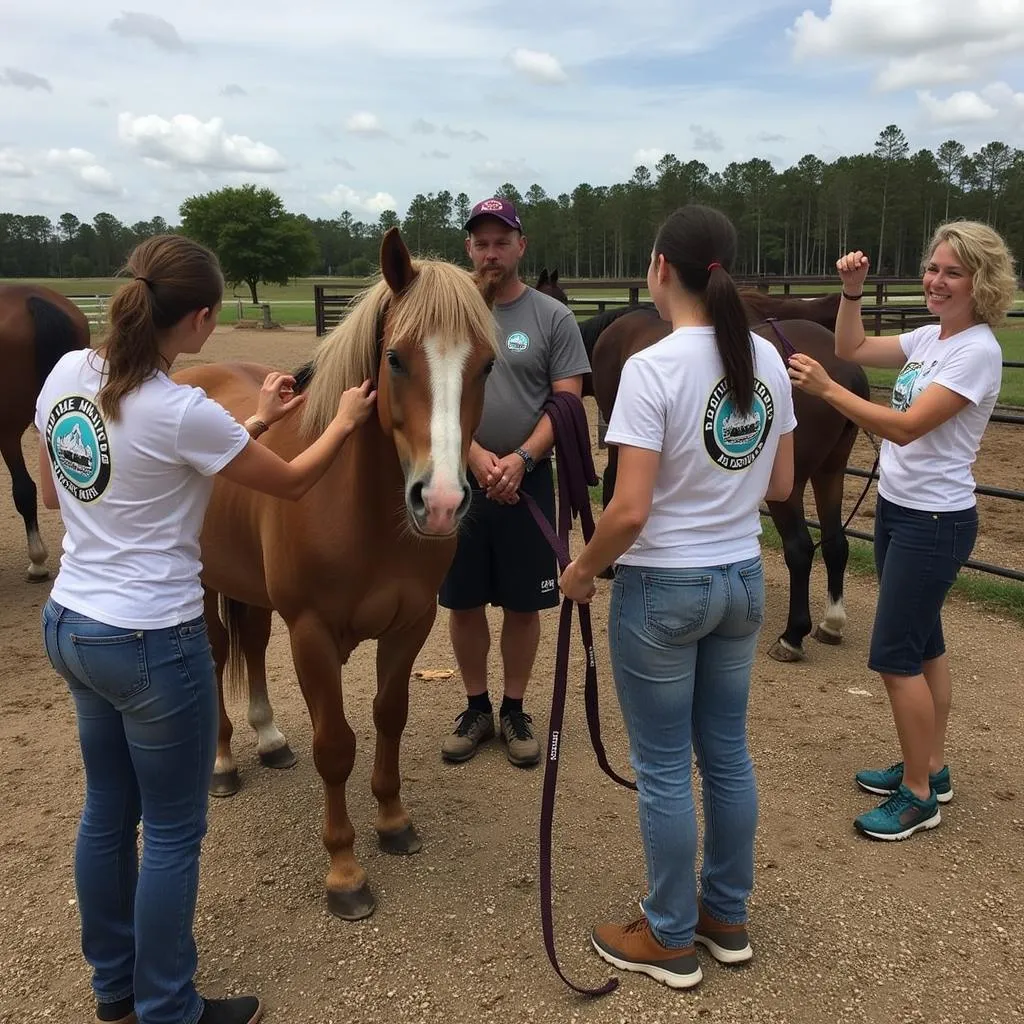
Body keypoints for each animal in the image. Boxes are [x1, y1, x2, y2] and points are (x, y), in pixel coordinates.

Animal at [177, 230, 503, 921]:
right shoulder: (312, 634)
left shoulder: (410, 625)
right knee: (217, 655)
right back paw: (222, 762)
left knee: (249, 643)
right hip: (205, 584)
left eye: (488, 365)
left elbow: (388, 717)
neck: (360, 511)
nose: (440, 502)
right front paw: (345, 872)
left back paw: (270, 740)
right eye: (396, 359)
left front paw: (393, 822)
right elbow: (336, 745)